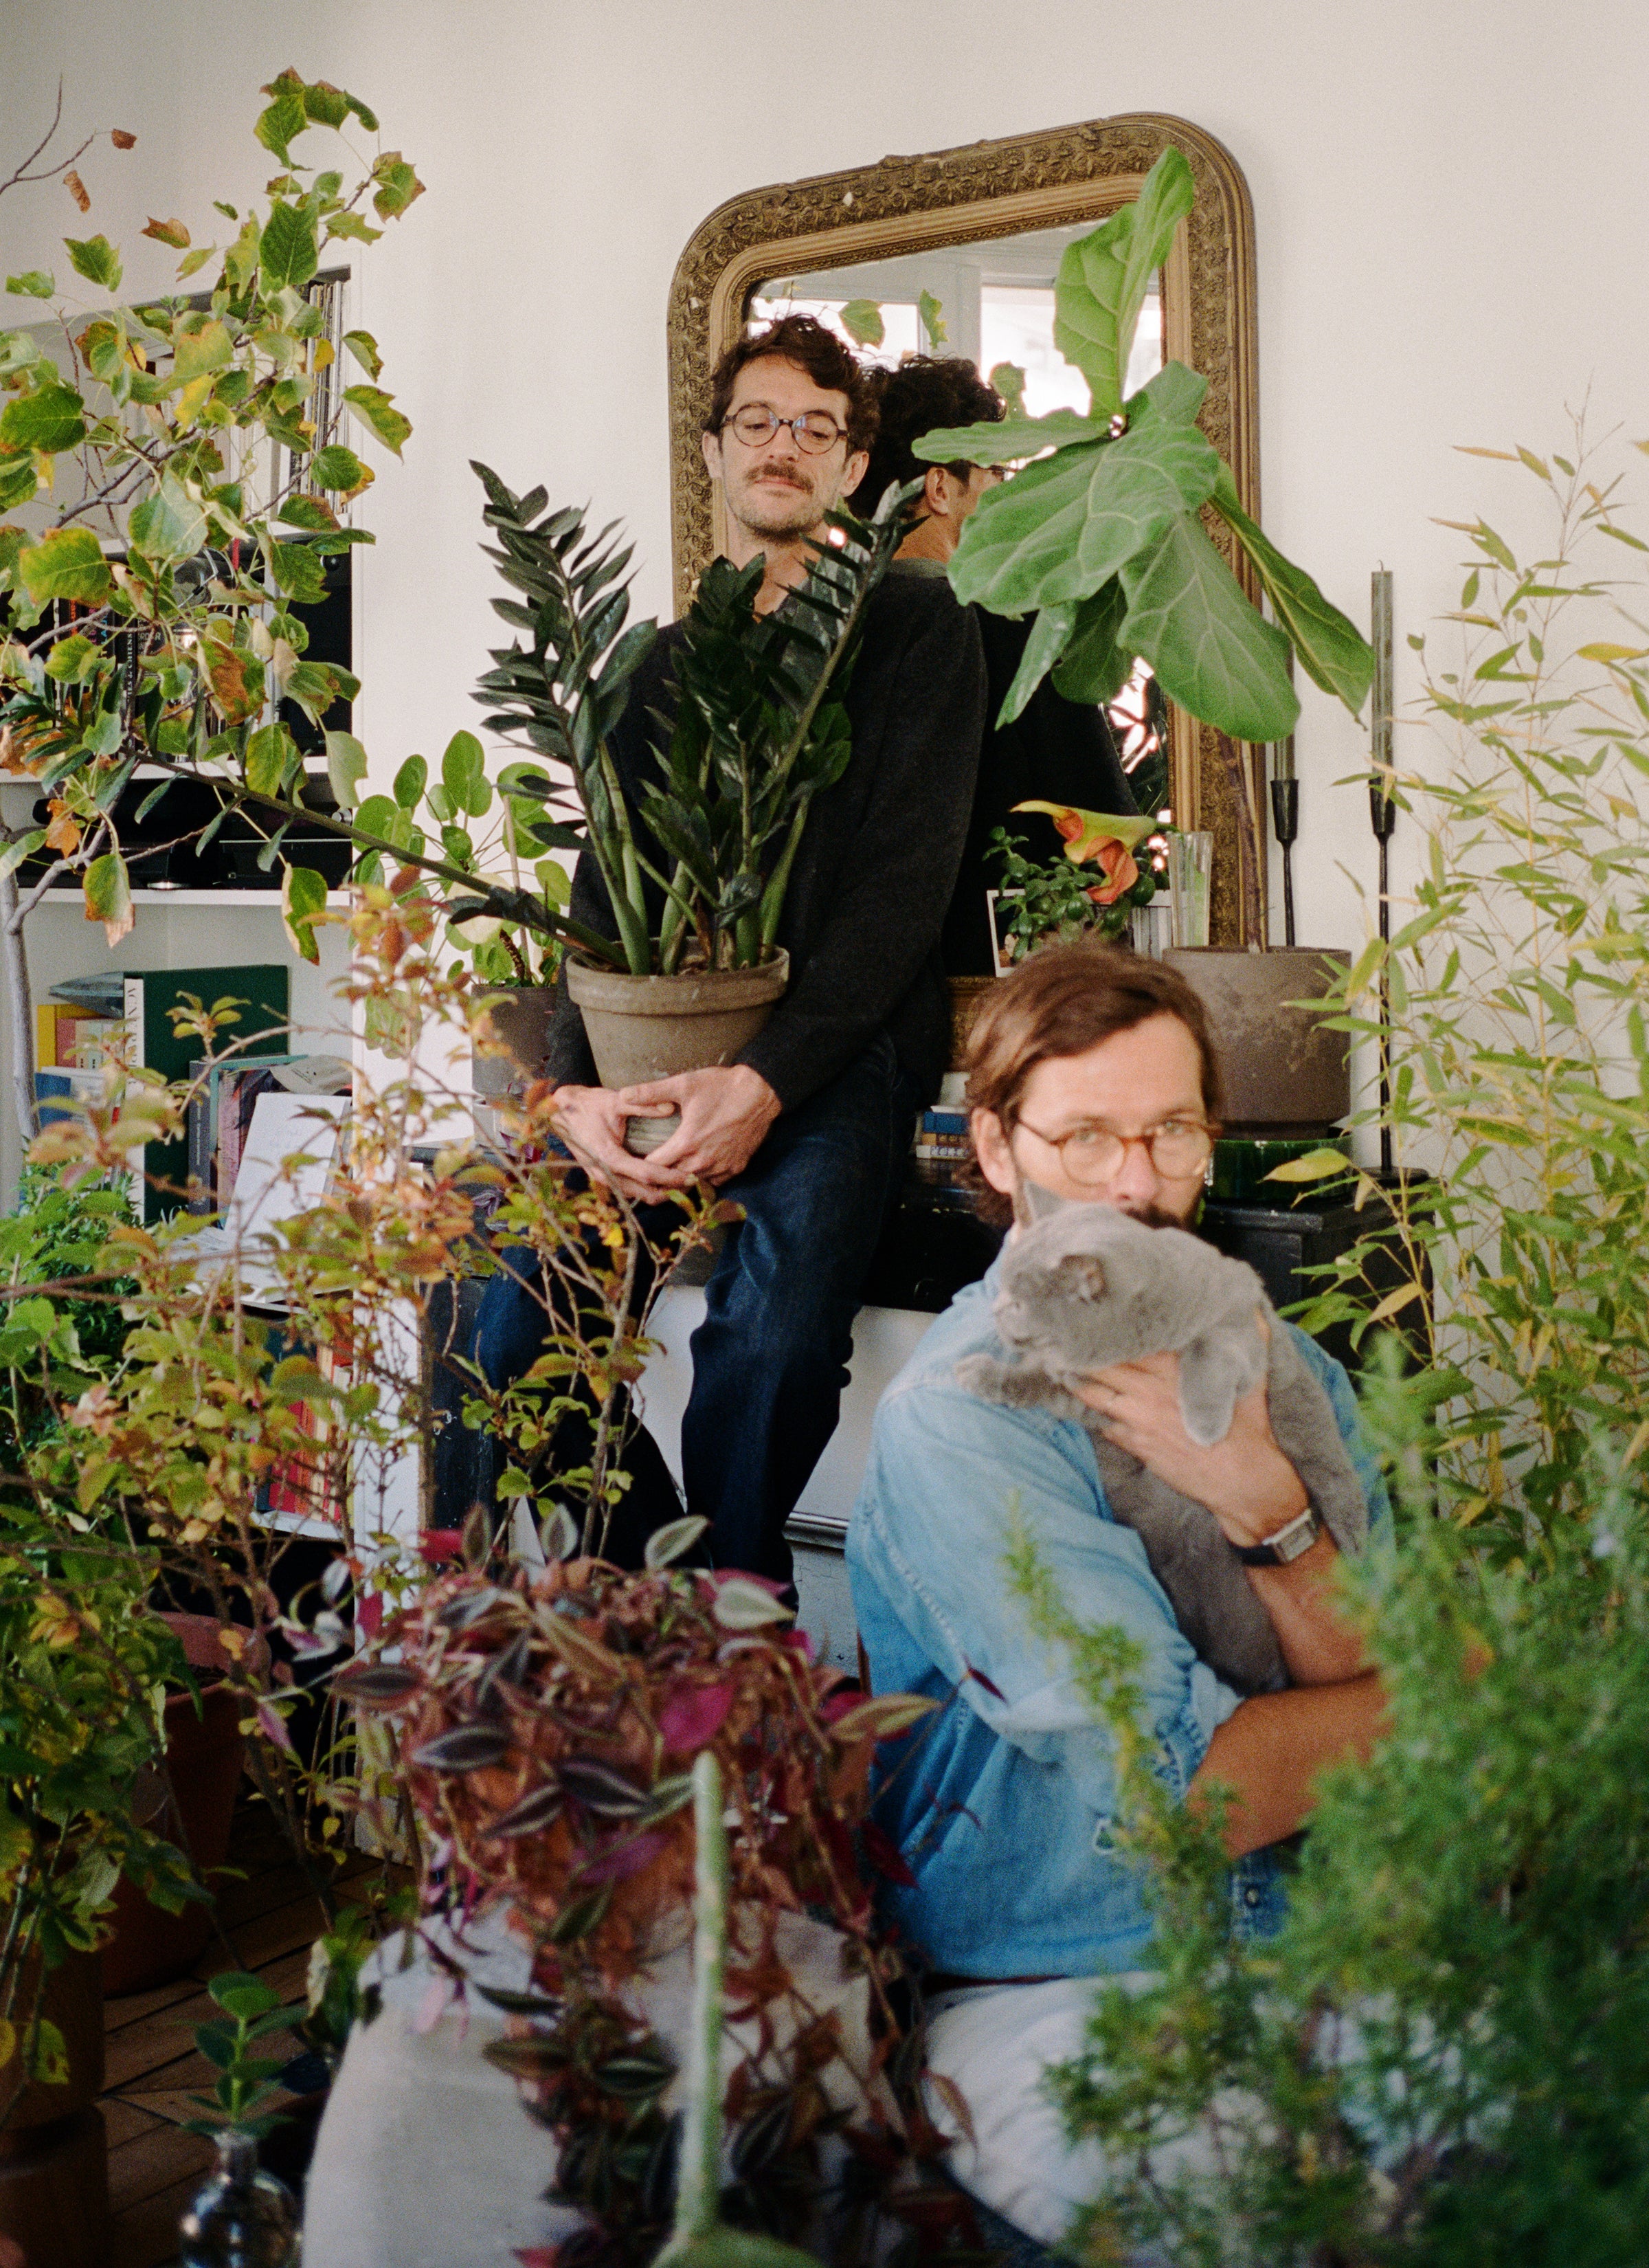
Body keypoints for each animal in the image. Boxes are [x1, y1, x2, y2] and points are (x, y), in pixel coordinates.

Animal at [952, 1197, 1369, 1696]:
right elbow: (1033, 1381)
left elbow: (1207, 1350)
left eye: (1017, 1302)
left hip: (1309, 1428)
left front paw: (1203, 1424)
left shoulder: (1241, 1310)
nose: (996, 1311)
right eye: (1004, 1292)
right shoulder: (1090, 1398)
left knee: (1338, 1487)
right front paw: (978, 1374)